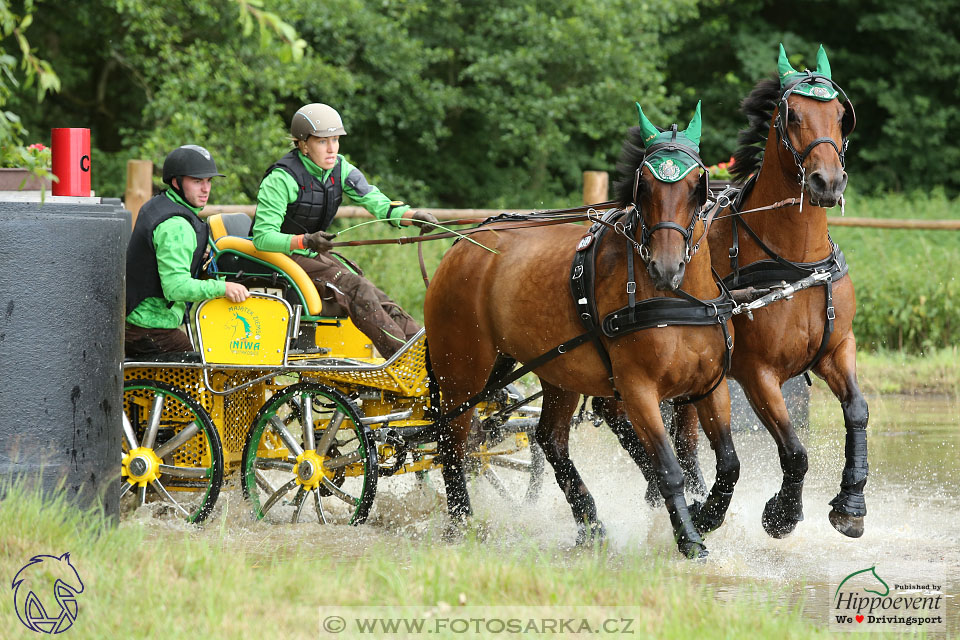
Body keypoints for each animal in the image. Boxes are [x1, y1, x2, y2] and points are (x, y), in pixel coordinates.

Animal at [424, 102, 740, 556]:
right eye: (644, 188)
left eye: (698, 185)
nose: (665, 267)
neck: (677, 302)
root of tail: (464, 243)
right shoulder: (638, 389)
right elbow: (668, 466)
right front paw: (690, 539)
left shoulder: (708, 385)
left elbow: (728, 464)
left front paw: (706, 515)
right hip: (463, 369)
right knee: (453, 435)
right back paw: (462, 521)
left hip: (558, 371)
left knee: (549, 440)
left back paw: (590, 523)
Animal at [668, 41, 872, 540]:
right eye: (792, 115)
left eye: (841, 115)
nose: (827, 181)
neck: (795, 262)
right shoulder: (757, 373)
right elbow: (795, 449)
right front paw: (782, 513)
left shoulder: (837, 348)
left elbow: (857, 411)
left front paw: (851, 504)